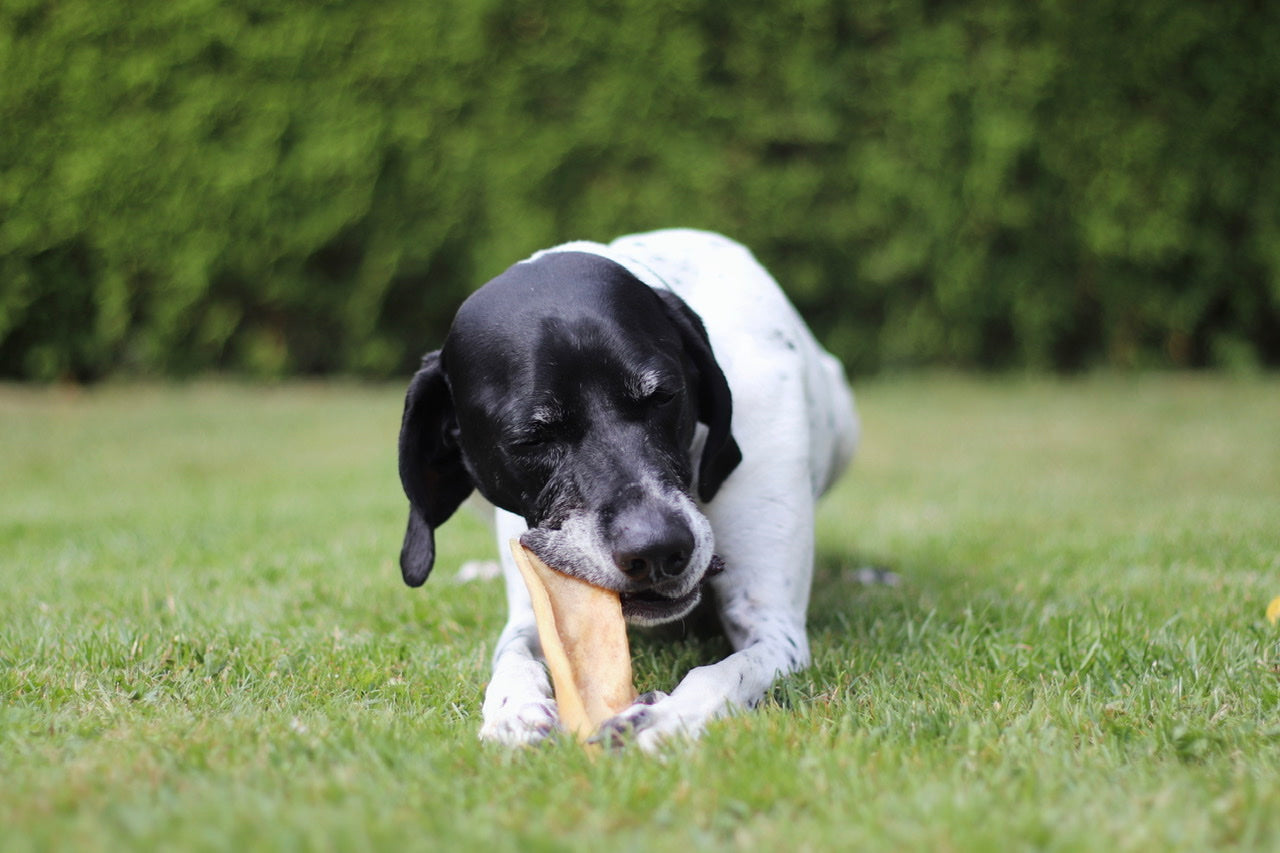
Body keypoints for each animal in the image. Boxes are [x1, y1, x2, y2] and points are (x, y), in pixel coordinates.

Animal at [396, 229, 860, 747]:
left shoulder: (771, 621)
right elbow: (513, 652)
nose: (658, 550)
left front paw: (669, 716)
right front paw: (514, 708)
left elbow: (724, 672)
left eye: (664, 395)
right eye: (531, 438)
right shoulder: (533, 605)